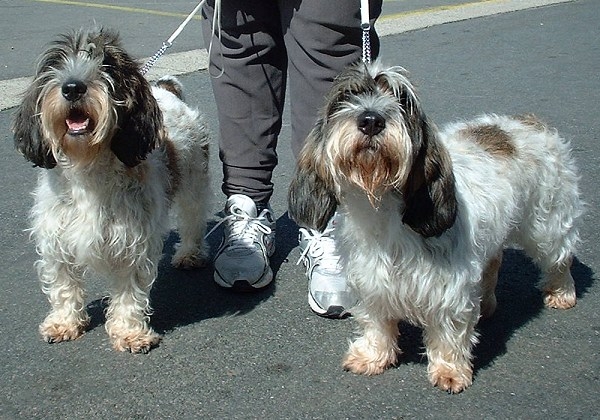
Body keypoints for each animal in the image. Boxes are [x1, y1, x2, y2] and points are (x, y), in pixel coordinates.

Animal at [12, 27, 212, 352]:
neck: (88, 167)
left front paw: (130, 332)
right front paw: (64, 322)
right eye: (57, 65)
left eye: (105, 66)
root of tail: (166, 89)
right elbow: (64, 283)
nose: (72, 87)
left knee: (193, 220)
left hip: (194, 180)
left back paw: (190, 254)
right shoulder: (56, 238)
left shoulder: (133, 241)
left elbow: (129, 292)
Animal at [288, 62, 584, 394]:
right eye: (347, 97)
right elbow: (376, 323)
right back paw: (486, 303)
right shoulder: (370, 280)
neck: (382, 206)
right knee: (493, 261)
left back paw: (561, 293)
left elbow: (448, 333)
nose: (371, 120)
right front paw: (373, 356)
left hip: (548, 223)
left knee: (560, 259)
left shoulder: (449, 290)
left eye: (402, 101)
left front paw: (450, 371)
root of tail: (529, 121)